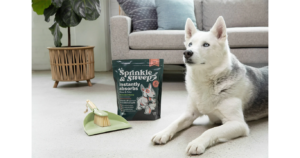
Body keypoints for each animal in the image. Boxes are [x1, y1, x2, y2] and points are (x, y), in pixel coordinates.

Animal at [151, 16, 268, 155]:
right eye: (190, 44)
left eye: (206, 44)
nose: (187, 53)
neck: (207, 81)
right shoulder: (189, 114)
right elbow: (175, 123)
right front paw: (162, 133)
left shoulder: (238, 124)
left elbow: (210, 131)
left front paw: (197, 142)